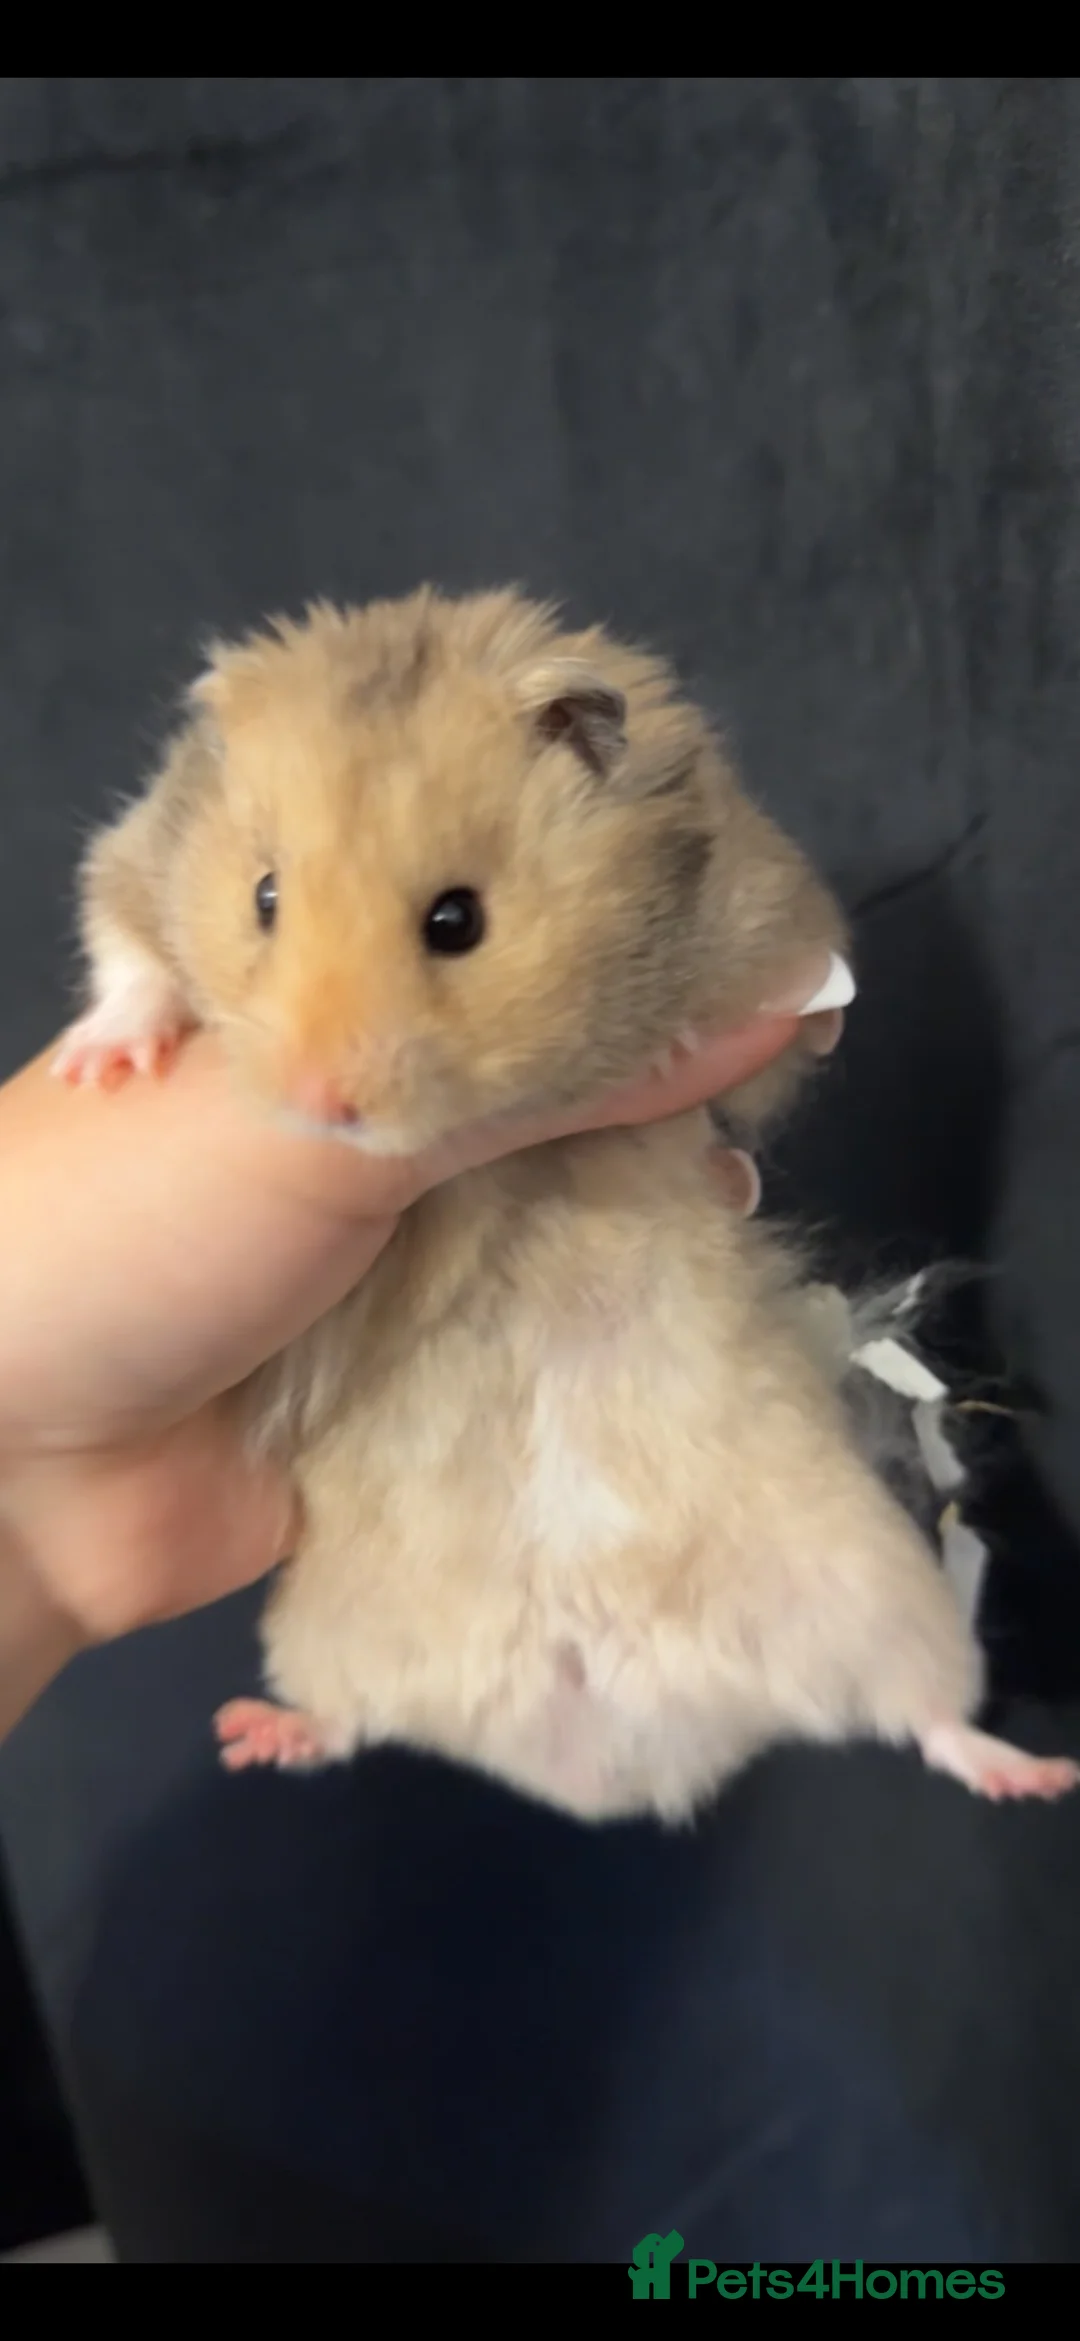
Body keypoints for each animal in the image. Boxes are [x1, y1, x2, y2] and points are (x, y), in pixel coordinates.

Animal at [55, 587, 1078, 1821]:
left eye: (457, 920)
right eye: (263, 898)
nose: (321, 1103)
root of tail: (614, 1756)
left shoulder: (787, 935)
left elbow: (775, 1045)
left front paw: (681, 1055)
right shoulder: (131, 857)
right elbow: (127, 946)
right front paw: (105, 1066)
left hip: (878, 1589)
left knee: (928, 1711)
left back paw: (1037, 1773)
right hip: (329, 1632)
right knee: (352, 1717)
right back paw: (255, 1735)